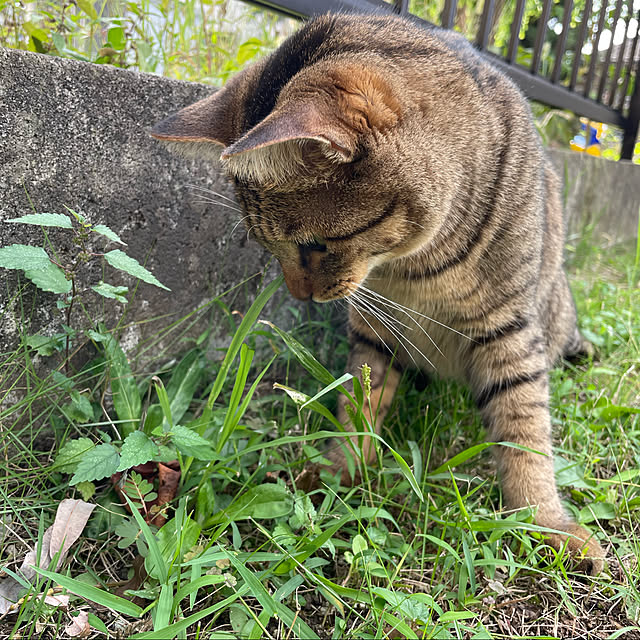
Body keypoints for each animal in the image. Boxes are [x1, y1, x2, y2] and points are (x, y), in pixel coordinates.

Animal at [154, 11, 604, 568]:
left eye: (314, 244)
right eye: (264, 245)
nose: (299, 295)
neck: (419, 267)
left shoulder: (508, 327)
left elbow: (524, 428)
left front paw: (546, 524)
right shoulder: (374, 331)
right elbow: (359, 405)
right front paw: (338, 472)